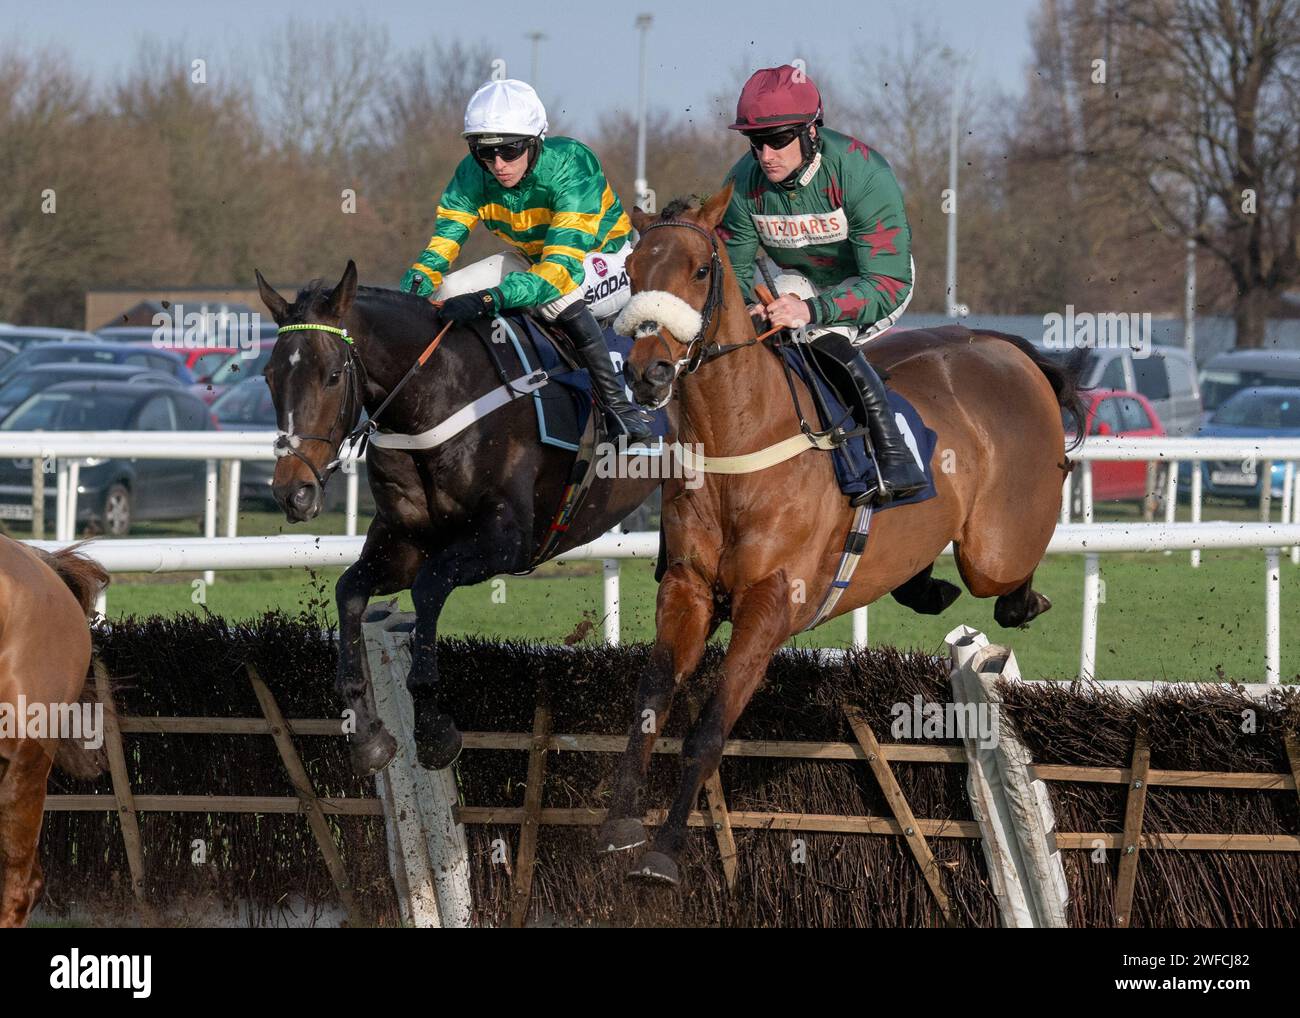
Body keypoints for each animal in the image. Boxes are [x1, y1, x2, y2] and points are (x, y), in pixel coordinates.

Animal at [256, 261, 660, 774]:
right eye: (268, 377)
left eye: (331, 375)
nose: (294, 492)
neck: (437, 400)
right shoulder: (404, 541)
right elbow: (349, 590)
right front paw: (367, 735)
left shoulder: (507, 541)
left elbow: (429, 586)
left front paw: (432, 729)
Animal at [598, 187, 1086, 889]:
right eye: (633, 272)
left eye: (699, 270)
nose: (649, 371)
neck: (738, 442)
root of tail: (1003, 346)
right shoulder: (688, 589)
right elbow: (650, 699)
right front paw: (619, 826)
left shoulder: (771, 602)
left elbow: (709, 730)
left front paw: (664, 854)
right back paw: (926, 587)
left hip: (996, 547)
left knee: (1004, 577)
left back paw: (1023, 599)